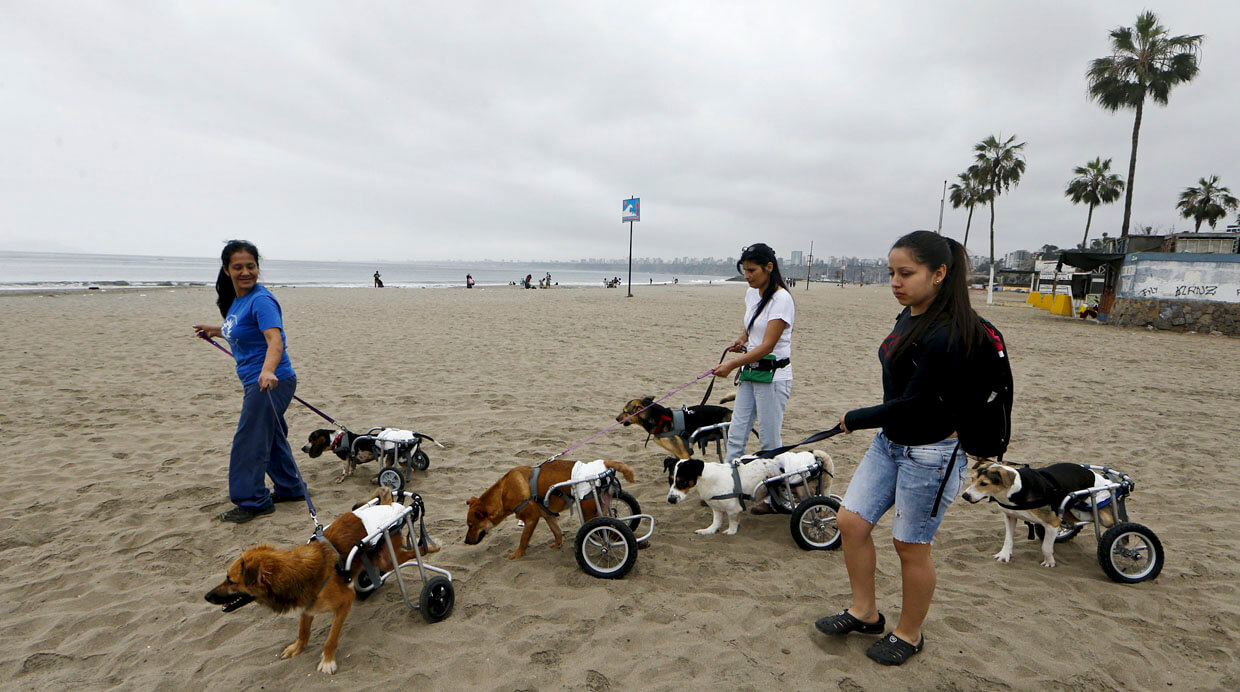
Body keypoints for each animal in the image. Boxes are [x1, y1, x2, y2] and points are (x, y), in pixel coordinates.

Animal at [200, 488, 419, 679]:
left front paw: (328, 661)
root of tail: (387, 505)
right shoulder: (307, 606)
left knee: (415, 551)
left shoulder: (344, 602)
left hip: (388, 557)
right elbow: (303, 630)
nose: (206, 596)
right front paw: (297, 648)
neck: (294, 573)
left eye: (230, 580)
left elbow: (331, 638)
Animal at [466, 461, 639, 565]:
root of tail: (603, 464)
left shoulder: (531, 519)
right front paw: (557, 544)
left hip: (589, 512)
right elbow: (557, 531)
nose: (466, 541)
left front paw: (518, 554)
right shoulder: (548, 515)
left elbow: (523, 540)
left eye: (471, 525)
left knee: (608, 532)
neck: (503, 493)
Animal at [664, 451, 828, 538]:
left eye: (683, 481)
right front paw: (708, 531)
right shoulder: (716, 508)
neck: (707, 480)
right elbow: (716, 521)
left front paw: (730, 532)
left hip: (802, 490)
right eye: (670, 480)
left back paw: (815, 525)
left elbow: (732, 522)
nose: (670, 500)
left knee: (816, 509)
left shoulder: (732, 509)